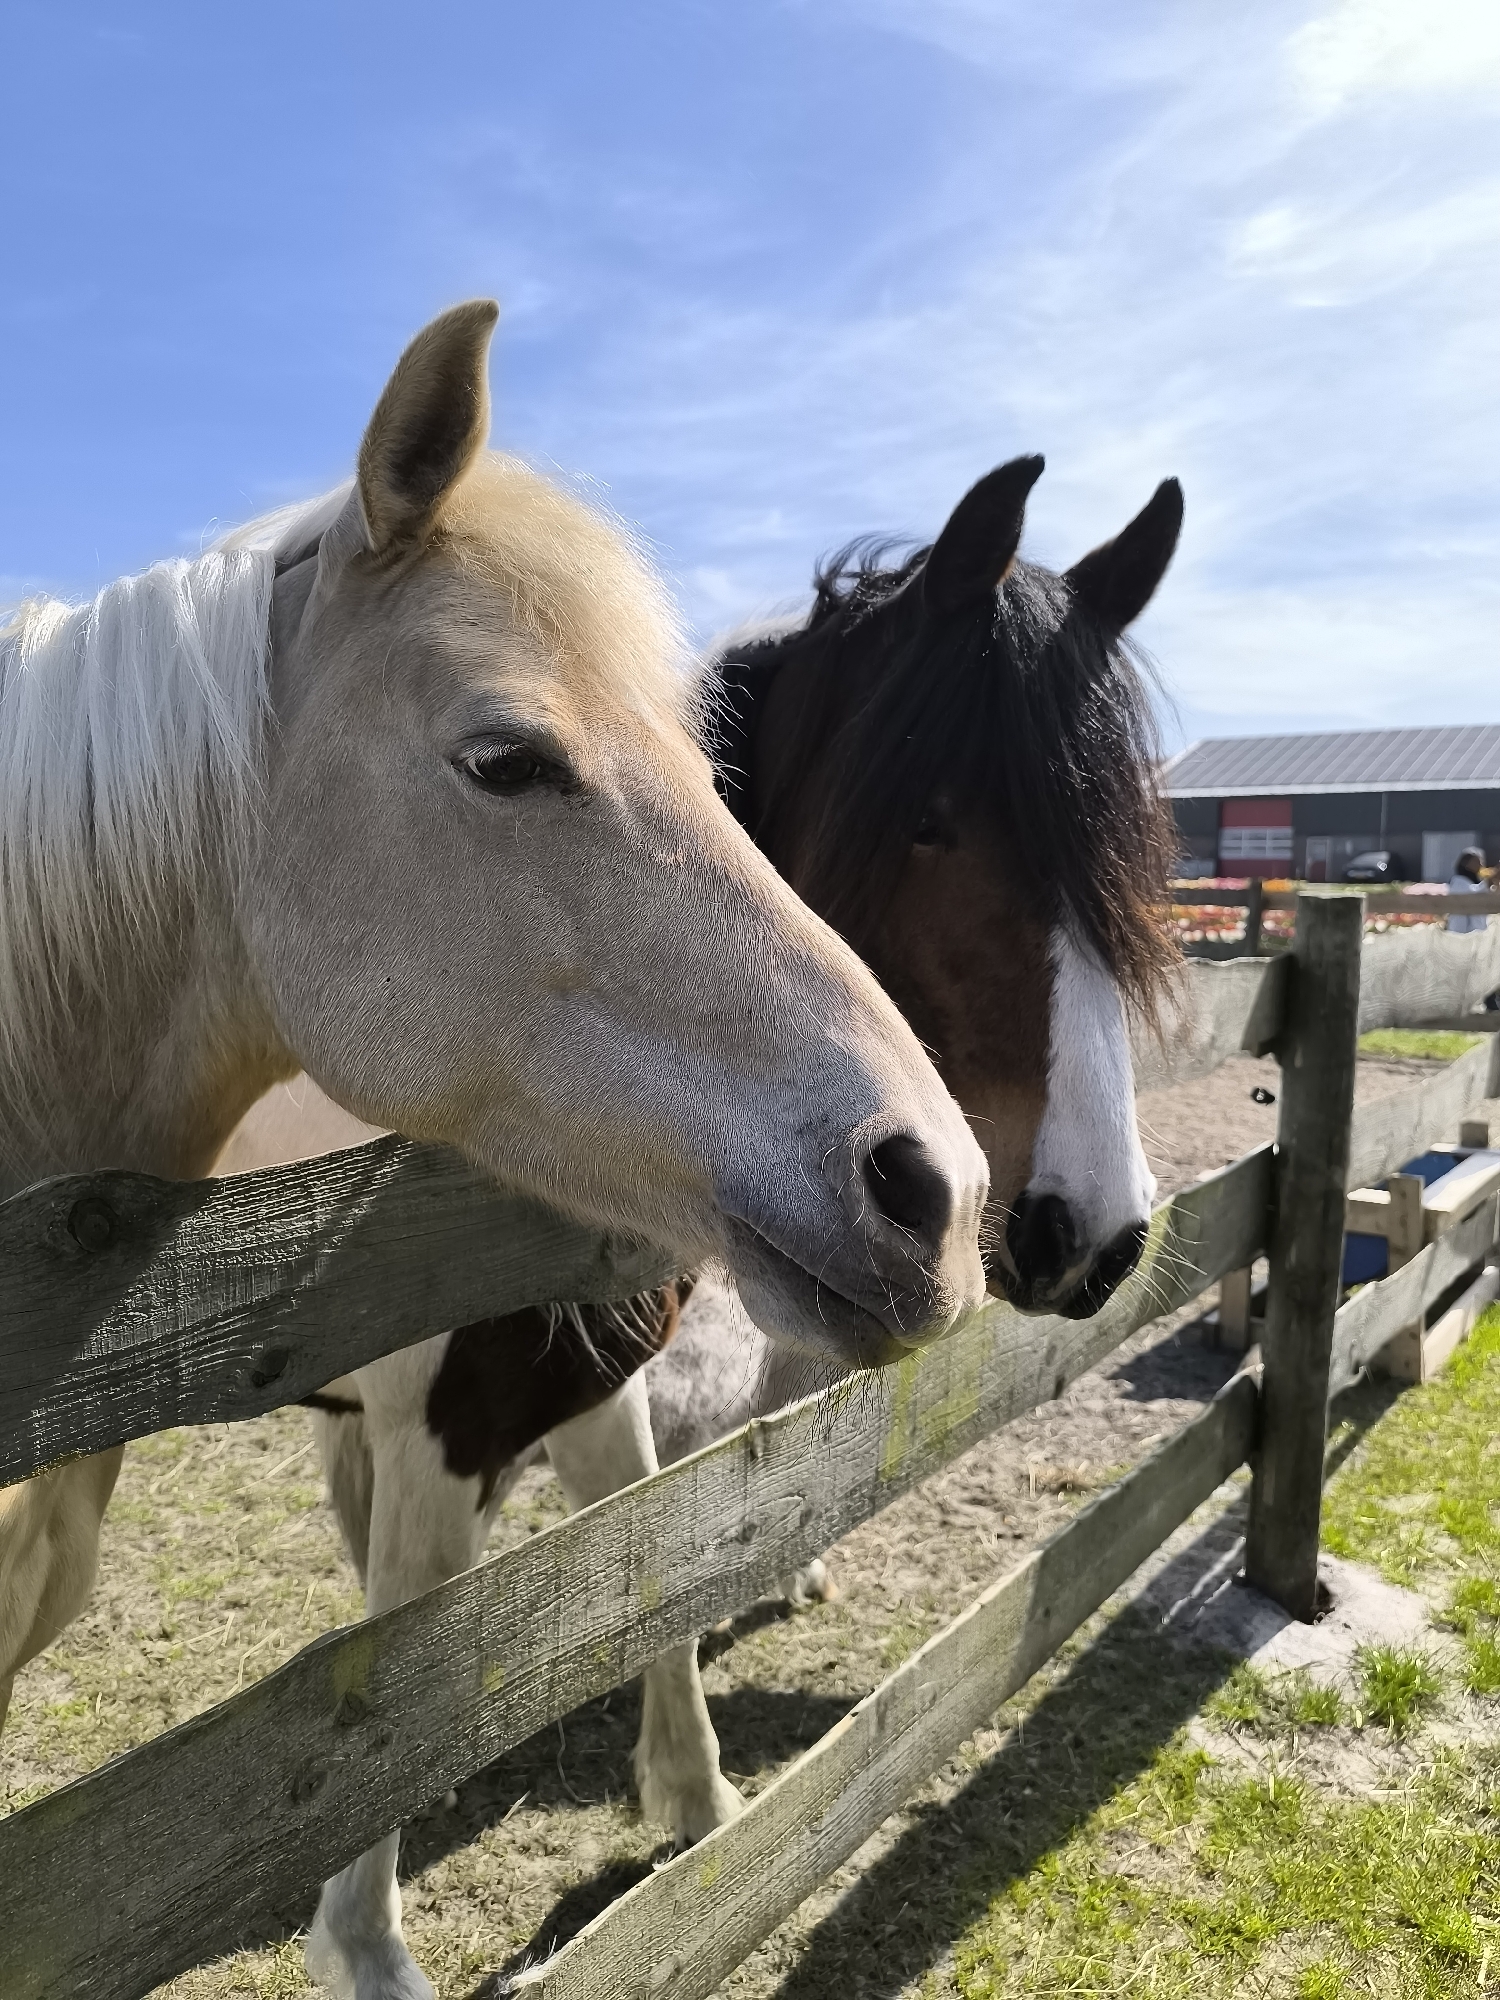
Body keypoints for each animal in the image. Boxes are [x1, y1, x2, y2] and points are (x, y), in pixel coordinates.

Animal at [214, 452, 1181, 2000]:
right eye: (934, 817)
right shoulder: (452, 1423)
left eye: (1125, 845)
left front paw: (693, 1796)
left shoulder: (587, 1376)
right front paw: (363, 1938)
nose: (1090, 1228)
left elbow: (645, 1552)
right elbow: (395, 1681)